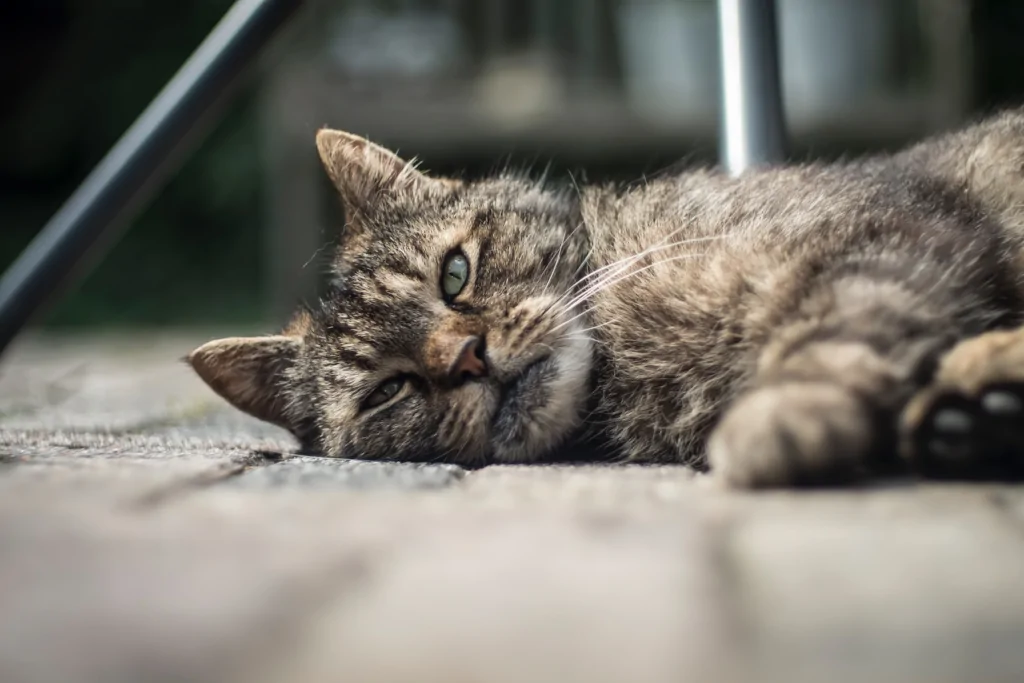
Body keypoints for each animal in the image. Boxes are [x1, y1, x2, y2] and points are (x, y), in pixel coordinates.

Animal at [188, 109, 1024, 489]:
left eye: (455, 274)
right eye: (387, 390)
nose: (467, 357)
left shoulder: (879, 236)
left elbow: (829, 331)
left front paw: (779, 417)